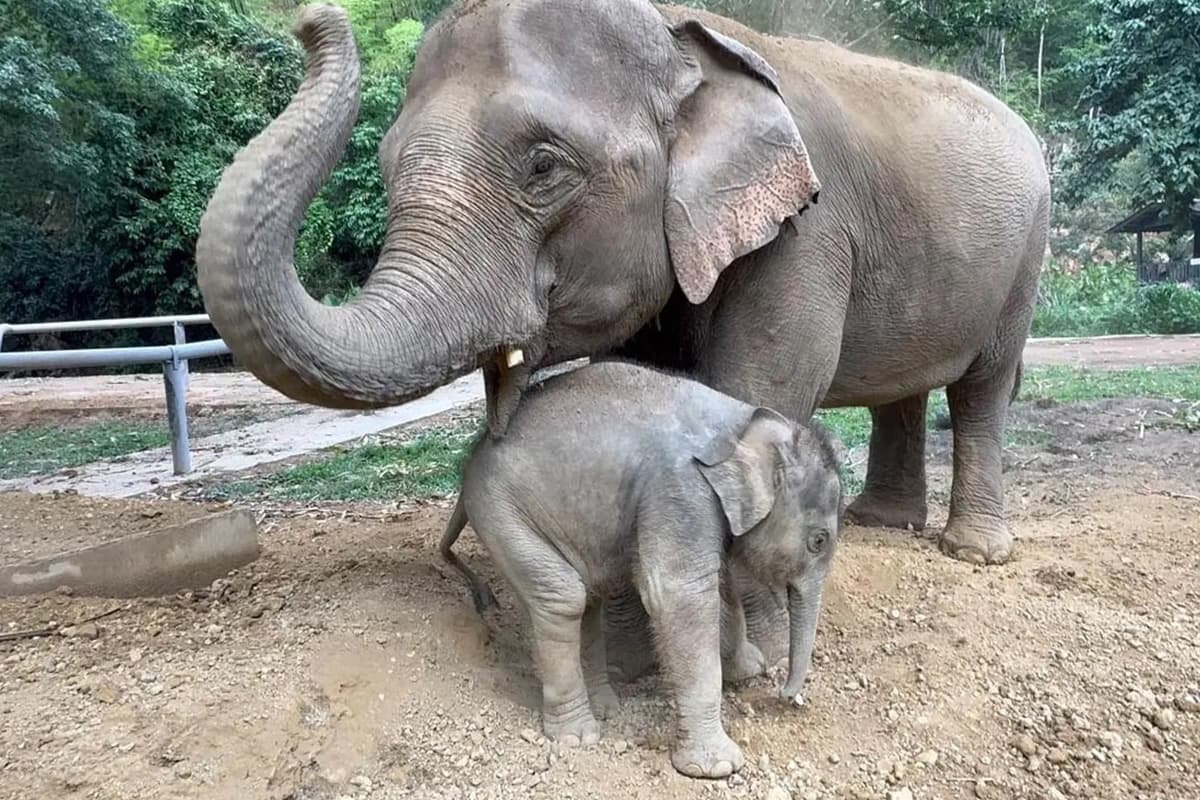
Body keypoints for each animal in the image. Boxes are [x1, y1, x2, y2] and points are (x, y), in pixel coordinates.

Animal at [195, 2, 1049, 666]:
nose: (311, 18)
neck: (682, 37)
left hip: (1028, 257)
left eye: (544, 167)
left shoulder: (807, 230)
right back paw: (881, 524)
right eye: (384, 164)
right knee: (904, 392)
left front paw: (743, 656)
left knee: (982, 389)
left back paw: (972, 550)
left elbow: (760, 387)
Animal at [436, 360, 842, 778]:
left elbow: (719, 582)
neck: (744, 422)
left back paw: (605, 708)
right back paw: (577, 736)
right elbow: (679, 596)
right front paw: (716, 767)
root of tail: (472, 458)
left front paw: (748, 669)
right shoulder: (679, 491)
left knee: (586, 598)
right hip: (501, 512)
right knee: (563, 597)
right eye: (819, 541)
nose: (786, 695)